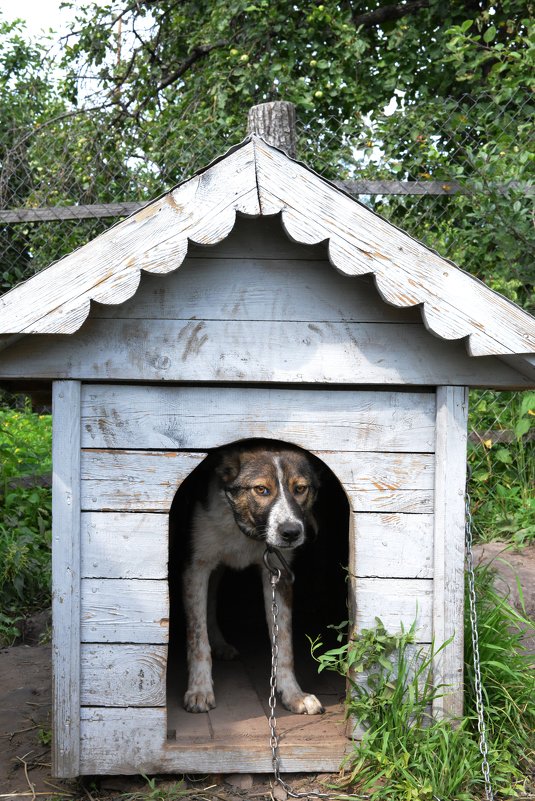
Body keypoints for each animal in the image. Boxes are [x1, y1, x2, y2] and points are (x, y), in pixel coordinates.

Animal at [182, 440, 324, 716]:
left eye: (300, 489)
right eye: (261, 489)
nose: (291, 532)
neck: (246, 530)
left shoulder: (278, 573)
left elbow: (284, 645)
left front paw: (293, 694)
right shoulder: (196, 568)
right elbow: (197, 639)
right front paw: (199, 690)